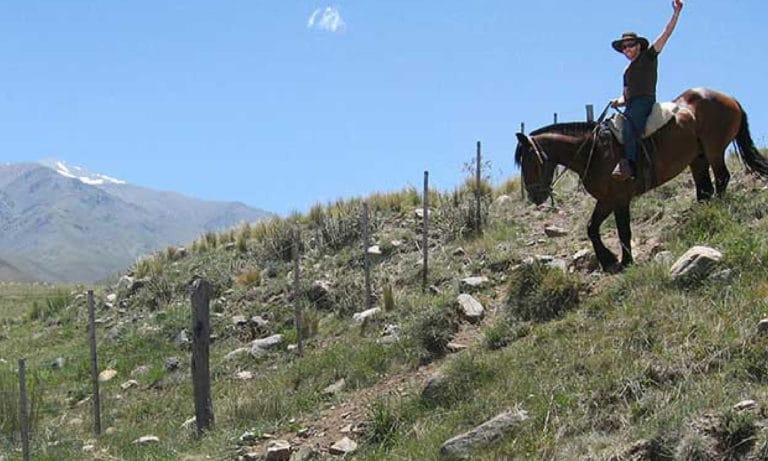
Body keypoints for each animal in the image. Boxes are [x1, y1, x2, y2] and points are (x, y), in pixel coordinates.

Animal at [512, 88, 768, 272]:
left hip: (714, 150)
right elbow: (591, 228)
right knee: (704, 189)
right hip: (698, 158)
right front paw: (608, 260)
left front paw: (625, 262)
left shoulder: (620, 199)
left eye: (529, 161)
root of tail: (729, 98)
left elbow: (623, 231)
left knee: (722, 178)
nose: (534, 196)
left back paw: (718, 210)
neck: (595, 152)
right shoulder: (606, 200)